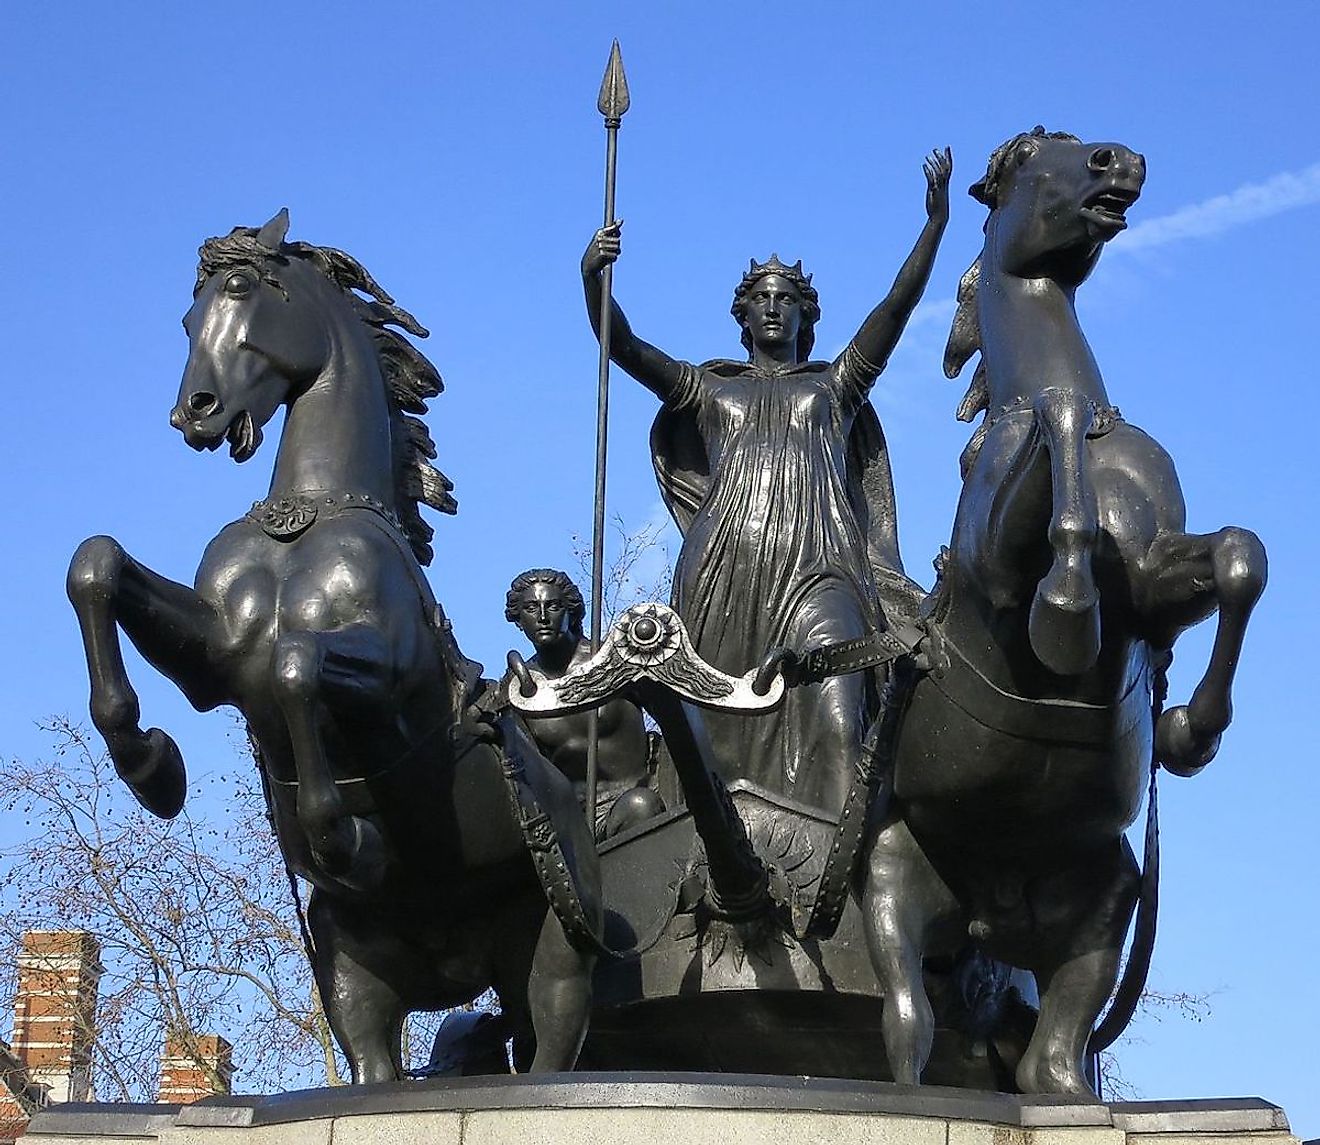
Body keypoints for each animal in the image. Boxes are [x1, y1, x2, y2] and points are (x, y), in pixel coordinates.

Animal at [66, 212, 594, 1082]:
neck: (309, 515)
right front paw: (152, 765)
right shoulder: (217, 657)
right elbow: (98, 566)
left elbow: (297, 666)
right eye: (187, 317)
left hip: (553, 956)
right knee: (378, 1060)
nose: (194, 413)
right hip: (355, 976)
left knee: (553, 1048)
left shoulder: (391, 678)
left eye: (241, 289)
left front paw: (339, 835)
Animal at [860, 130, 1261, 1098]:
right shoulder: (997, 572)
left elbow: (1239, 555)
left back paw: (1070, 1097)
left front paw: (1191, 728)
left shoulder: (1153, 577)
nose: (1124, 161)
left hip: (1108, 902)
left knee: (1053, 1064)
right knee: (908, 1031)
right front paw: (1069, 611)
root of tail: (989, 913)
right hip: (891, 880)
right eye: (1041, 158)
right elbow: (1060, 427)